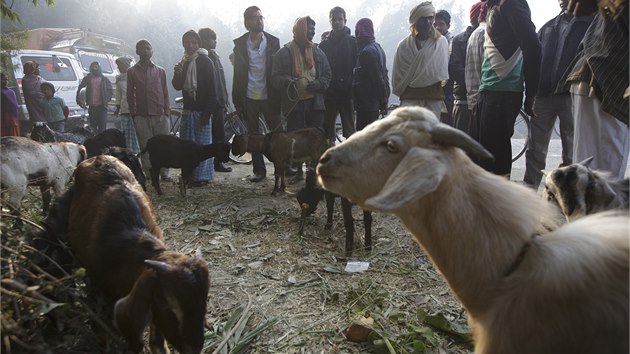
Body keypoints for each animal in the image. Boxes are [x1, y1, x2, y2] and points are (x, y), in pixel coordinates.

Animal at [41, 156, 210, 354]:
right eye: (166, 303)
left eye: (204, 301)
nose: (194, 347)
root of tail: (97, 158)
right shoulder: (99, 290)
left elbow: (157, 342)